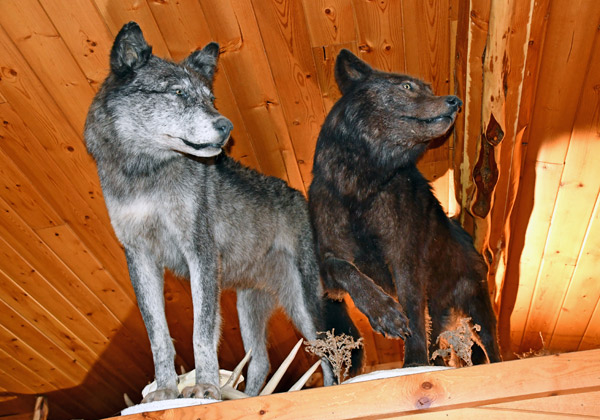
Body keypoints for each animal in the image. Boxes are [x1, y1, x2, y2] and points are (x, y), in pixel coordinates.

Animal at [84, 22, 359, 402]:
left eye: (210, 99)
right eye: (179, 93)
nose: (226, 126)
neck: (144, 173)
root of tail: (303, 199)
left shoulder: (200, 251)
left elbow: (201, 332)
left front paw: (205, 388)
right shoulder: (140, 257)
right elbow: (159, 337)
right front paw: (165, 391)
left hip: (303, 305)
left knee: (326, 352)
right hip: (248, 306)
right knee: (261, 361)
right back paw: (253, 399)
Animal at [308, 49, 501, 366]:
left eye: (430, 90)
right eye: (407, 87)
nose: (456, 102)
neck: (363, 185)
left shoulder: (404, 257)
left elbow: (411, 312)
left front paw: (413, 363)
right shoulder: (329, 261)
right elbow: (346, 270)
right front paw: (383, 313)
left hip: (477, 310)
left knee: (490, 345)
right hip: (439, 307)